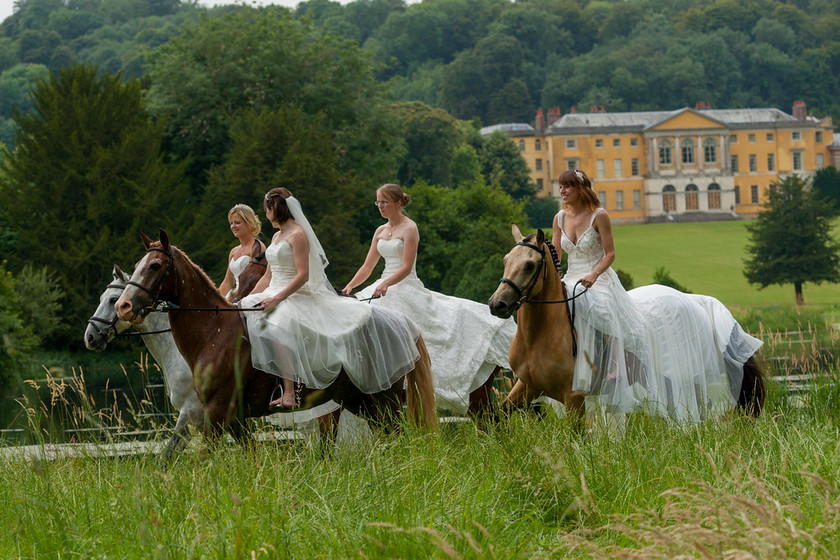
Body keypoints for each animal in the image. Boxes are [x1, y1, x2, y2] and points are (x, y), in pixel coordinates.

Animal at [115, 230, 440, 440]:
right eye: (137, 266)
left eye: (155, 265)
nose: (123, 306)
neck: (214, 332)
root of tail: (402, 323)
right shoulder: (233, 419)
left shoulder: (216, 413)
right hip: (359, 401)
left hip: (383, 401)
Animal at [486, 225, 768, 422]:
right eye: (505, 260)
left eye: (529, 265)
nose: (497, 304)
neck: (540, 336)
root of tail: (696, 302)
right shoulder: (528, 386)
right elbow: (500, 414)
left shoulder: (573, 396)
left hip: (687, 374)